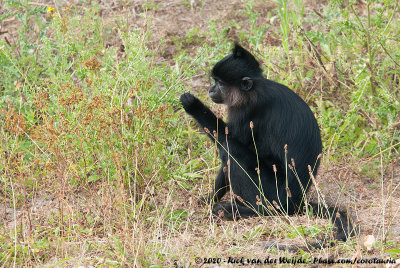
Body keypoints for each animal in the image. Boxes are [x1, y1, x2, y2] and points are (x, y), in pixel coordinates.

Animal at [181, 44, 354, 241]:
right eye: (215, 81)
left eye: (220, 83)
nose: (211, 89)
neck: (253, 89)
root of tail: (295, 201)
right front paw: (209, 198)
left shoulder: (246, 111)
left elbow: (227, 142)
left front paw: (193, 105)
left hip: (272, 193)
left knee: (232, 153)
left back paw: (247, 210)